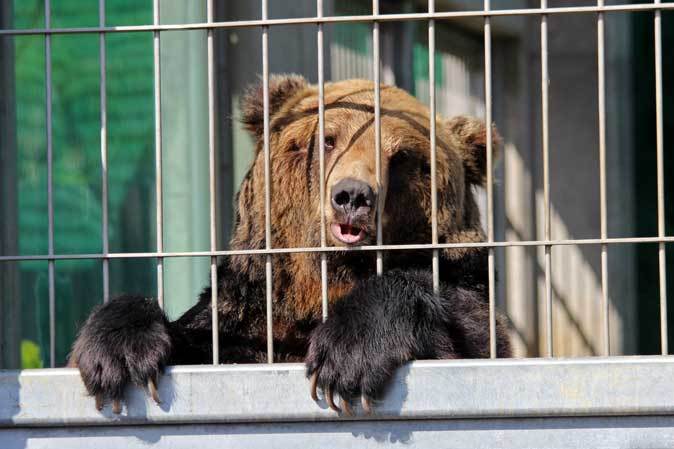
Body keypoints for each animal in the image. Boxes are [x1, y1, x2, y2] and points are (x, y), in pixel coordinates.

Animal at [68, 73, 510, 412]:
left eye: (402, 157)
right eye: (328, 139)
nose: (353, 196)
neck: (320, 286)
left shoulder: (466, 295)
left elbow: (465, 337)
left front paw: (348, 356)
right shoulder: (249, 315)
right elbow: (193, 338)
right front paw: (118, 355)